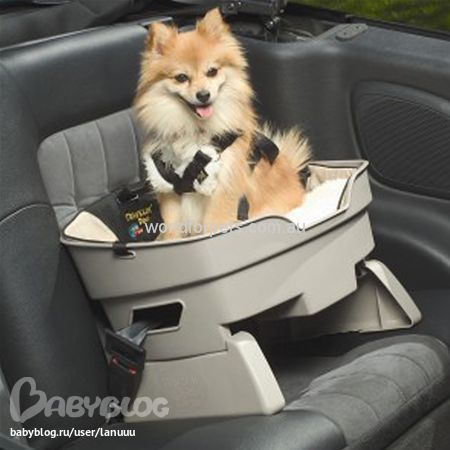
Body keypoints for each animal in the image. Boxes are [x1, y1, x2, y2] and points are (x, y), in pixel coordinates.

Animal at [134, 8, 310, 240]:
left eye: (212, 72)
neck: (195, 128)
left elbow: (213, 227)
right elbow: (172, 228)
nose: (203, 95)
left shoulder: (223, 188)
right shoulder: (169, 187)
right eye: (181, 78)